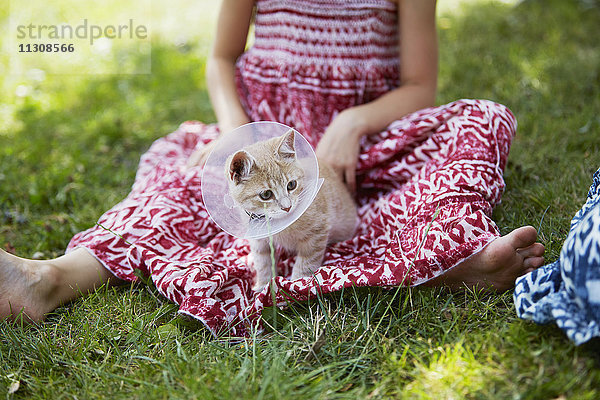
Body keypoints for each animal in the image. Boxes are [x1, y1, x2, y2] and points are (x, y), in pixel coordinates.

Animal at [225, 130, 356, 290]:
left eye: (291, 185)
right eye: (266, 194)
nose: (287, 207)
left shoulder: (317, 232)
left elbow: (307, 261)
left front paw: (297, 283)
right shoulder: (259, 240)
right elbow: (262, 262)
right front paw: (264, 285)